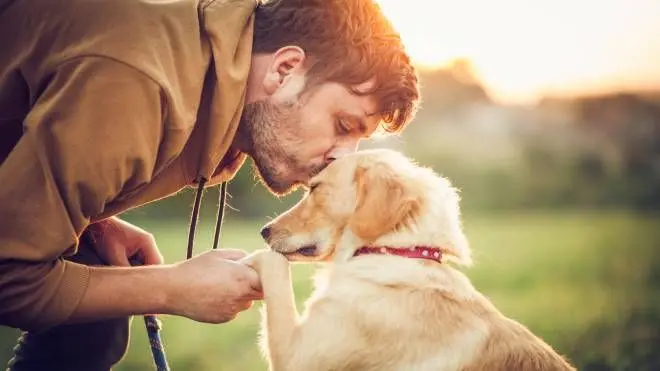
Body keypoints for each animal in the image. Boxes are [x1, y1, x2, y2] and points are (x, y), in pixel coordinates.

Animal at [244, 149, 576, 371]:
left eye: (315, 188)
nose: (263, 231)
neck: (393, 251)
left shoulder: (296, 356)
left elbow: (274, 267)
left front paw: (252, 257)